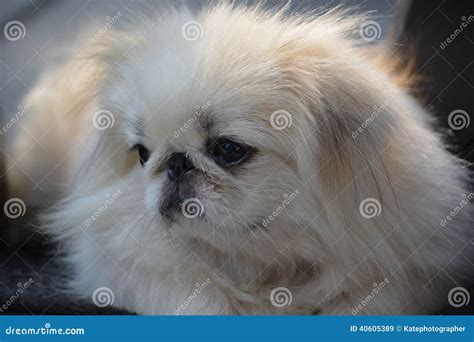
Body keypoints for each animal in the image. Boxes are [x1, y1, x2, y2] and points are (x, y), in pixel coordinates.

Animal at [10, 4, 470, 314]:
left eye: (228, 150)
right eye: (142, 153)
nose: (175, 162)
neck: (265, 265)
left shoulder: (412, 270)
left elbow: (370, 300)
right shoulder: (125, 265)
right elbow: (196, 296)